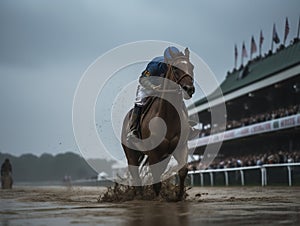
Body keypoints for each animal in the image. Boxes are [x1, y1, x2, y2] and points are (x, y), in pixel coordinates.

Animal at [121, 47, 195, 200]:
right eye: (176, 68)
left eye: (192, 67)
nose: (189, 88)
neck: (168, 117)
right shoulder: (154, 152)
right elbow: (156, 180)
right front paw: (157, 199)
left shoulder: (180, 147)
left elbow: (183, 171)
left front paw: (179, 197)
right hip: (131, 153)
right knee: (135, 175)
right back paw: (139, 196)